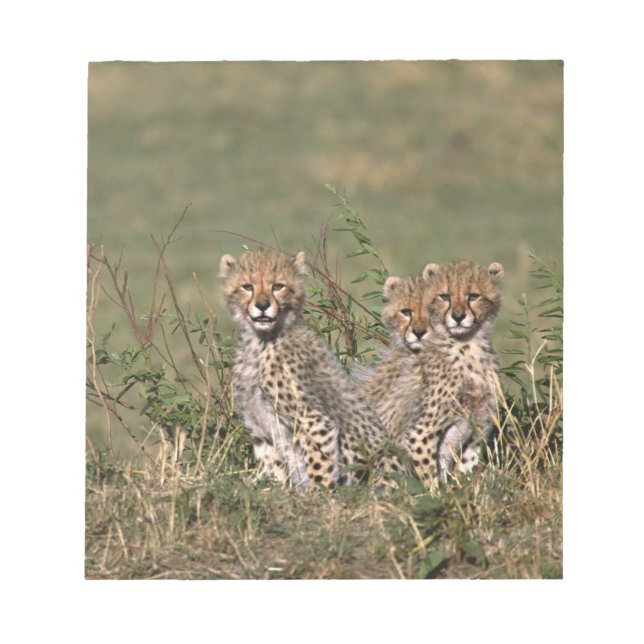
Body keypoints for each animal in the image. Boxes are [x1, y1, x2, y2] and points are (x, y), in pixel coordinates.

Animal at [220, 248, 403, 492]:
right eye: (247, 286)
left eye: (278, 286)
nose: (262, 305)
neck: (260, 341)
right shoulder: (259, 428)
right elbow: (273, 466)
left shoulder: (314, 420)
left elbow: (319, 464)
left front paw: (319, 495)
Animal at [359, 260, 504, 486]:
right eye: (406, 312)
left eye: (473, 296)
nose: (458, 317)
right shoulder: (420, 431)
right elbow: (429, 478)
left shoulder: (478, 425)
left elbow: (465, 470)